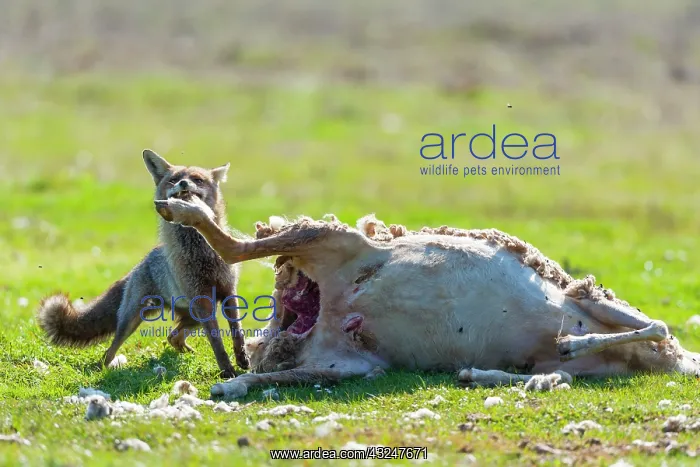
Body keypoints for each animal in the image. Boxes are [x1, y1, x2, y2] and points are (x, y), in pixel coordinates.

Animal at [36, 149, 250, 378]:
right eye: (173, 179)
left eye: (197, 180)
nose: (183, 183)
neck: (201, 254)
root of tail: (139, 265)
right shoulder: (201, 300)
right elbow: (217, 342)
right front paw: (227, 370)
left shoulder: (228, 291)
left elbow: (237, 332)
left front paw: (242, 358)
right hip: (133, 320)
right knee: (110, 351)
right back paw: (104, 370)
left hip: (192, 317)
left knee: (172, 337)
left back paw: (187, 353)